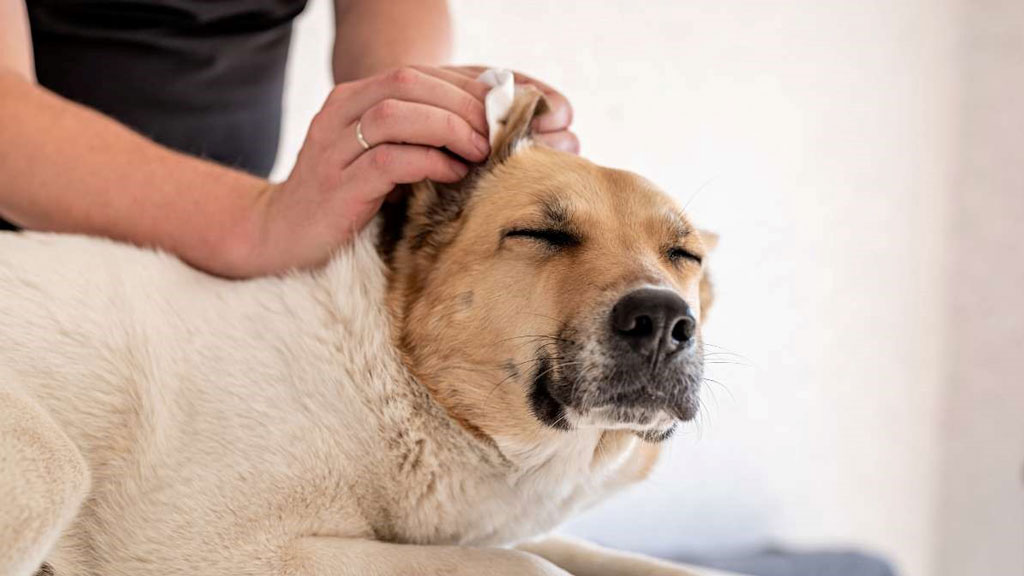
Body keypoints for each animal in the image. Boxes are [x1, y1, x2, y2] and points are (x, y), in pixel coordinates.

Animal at [0, 87, 720, 573]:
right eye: (542, 233)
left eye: (684, 255)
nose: (662, 320)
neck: (393, 378)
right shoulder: (215, 550)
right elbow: (532, 565)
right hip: (49, 466)